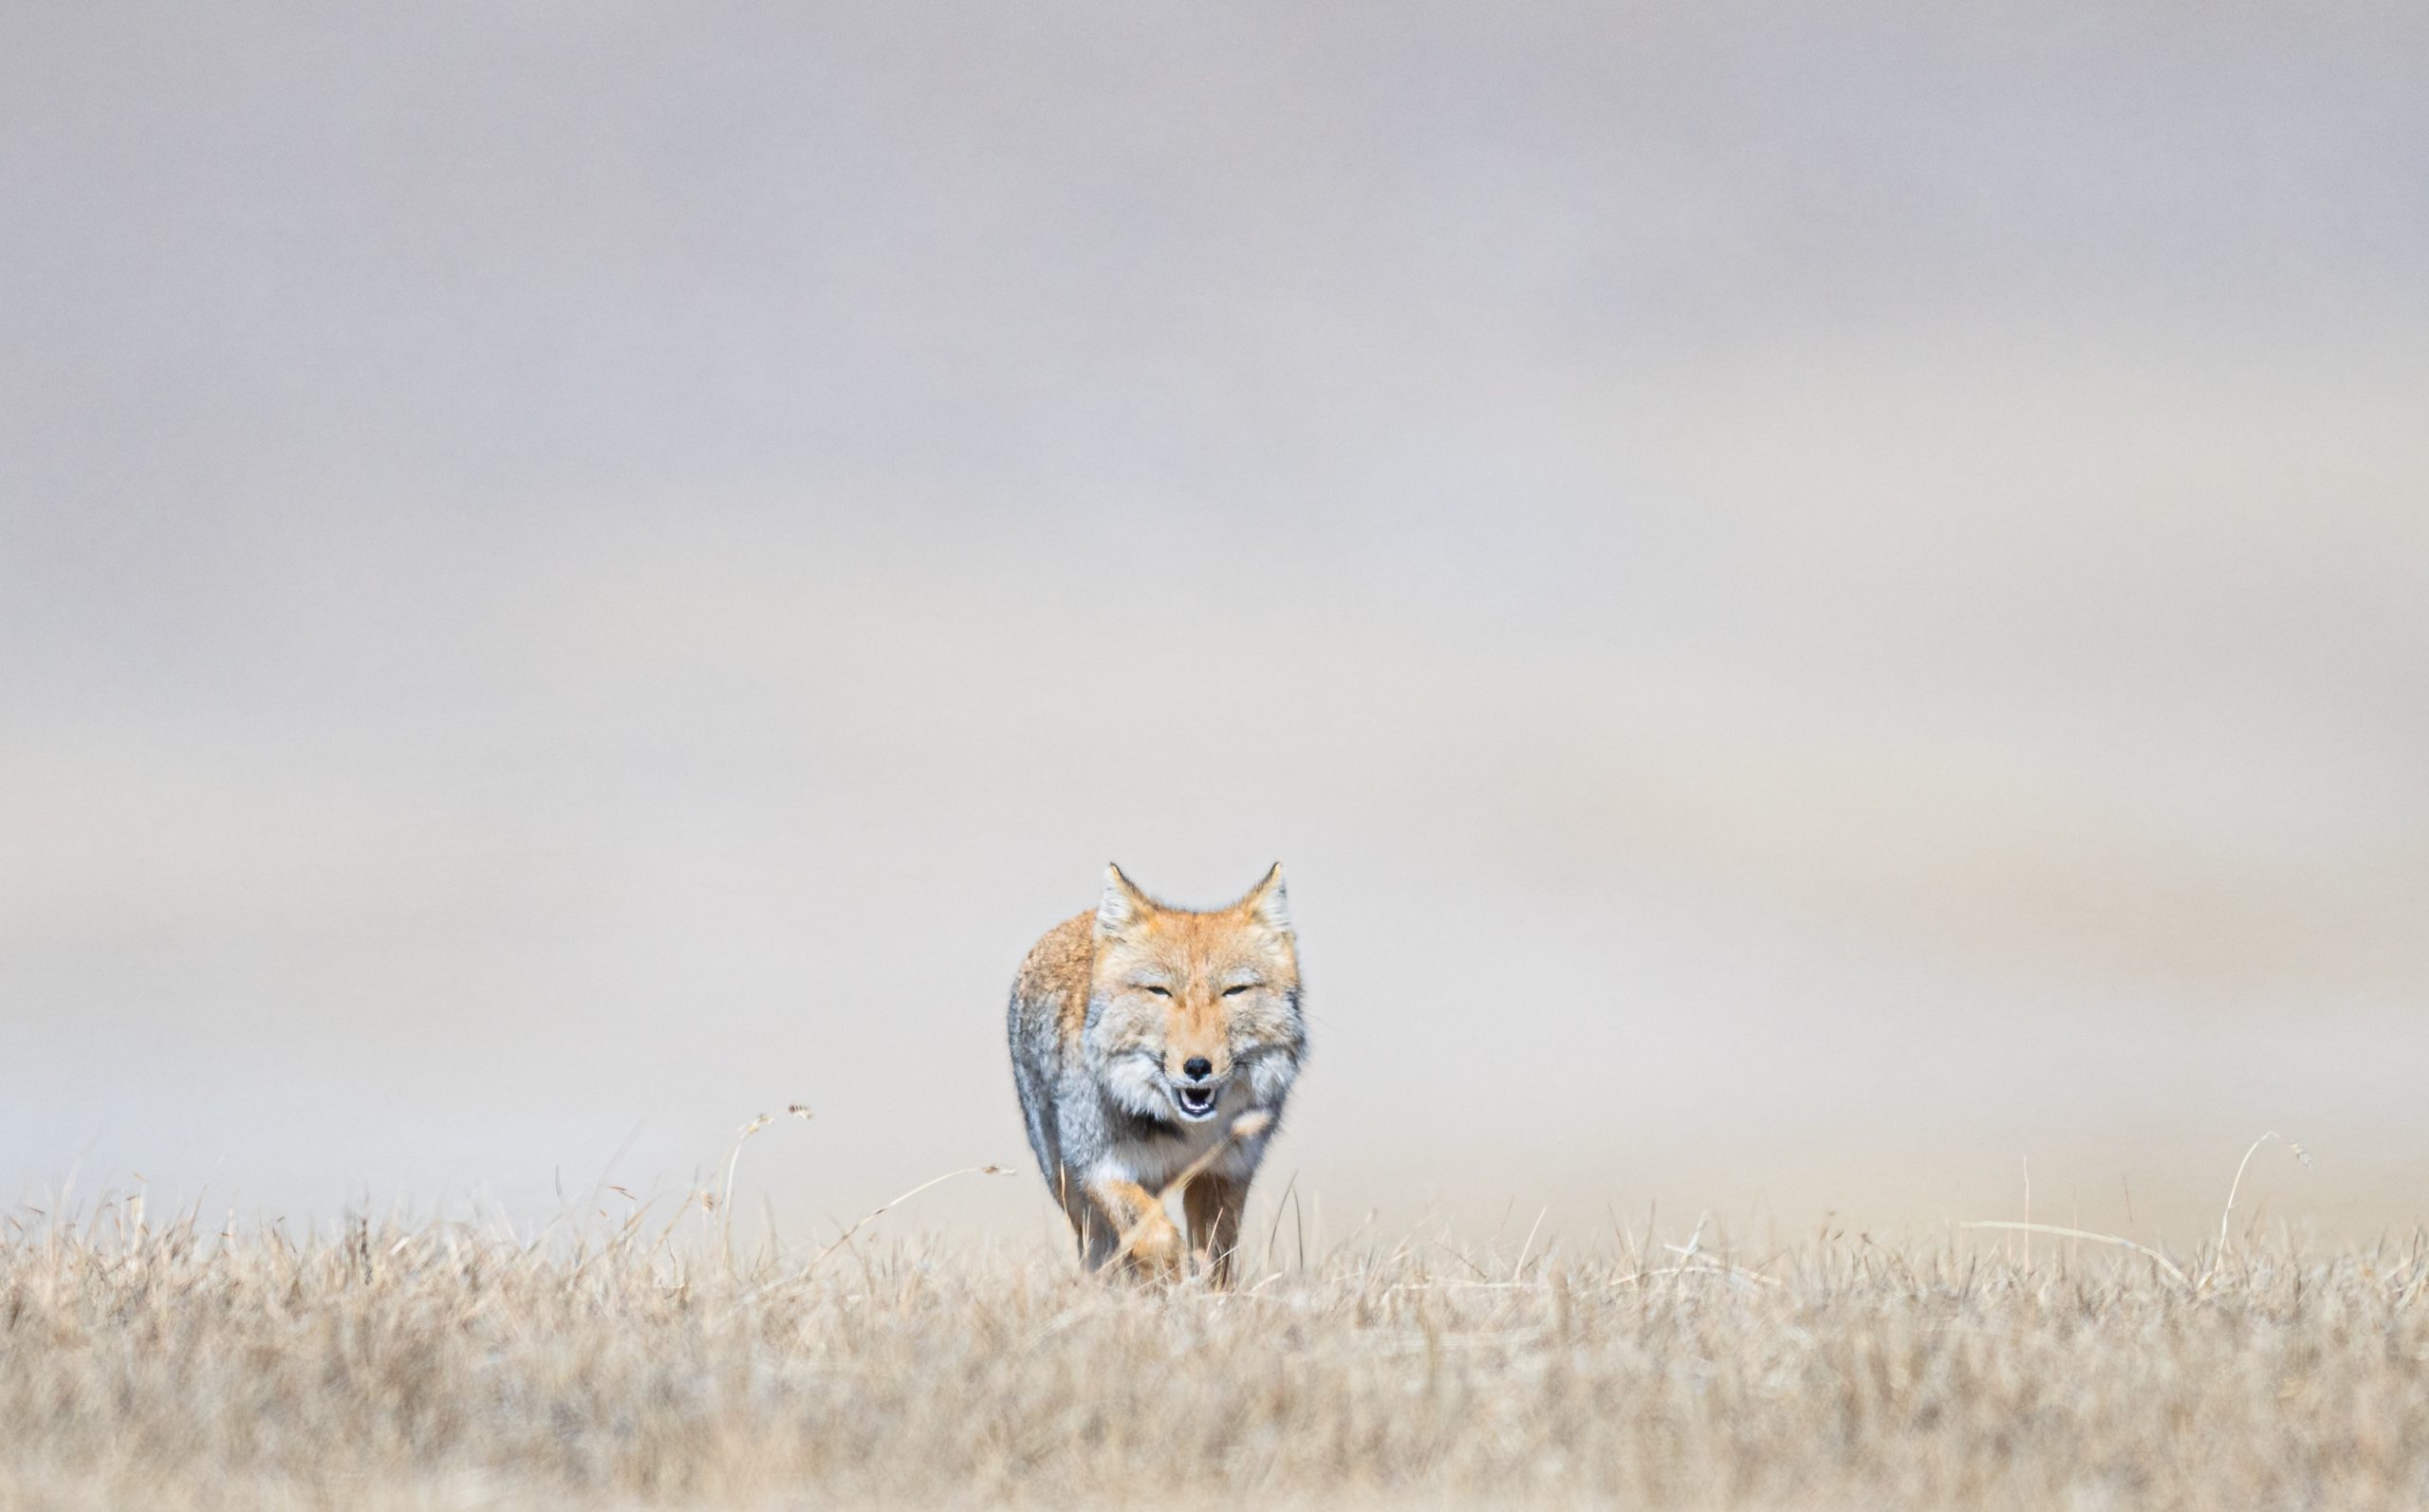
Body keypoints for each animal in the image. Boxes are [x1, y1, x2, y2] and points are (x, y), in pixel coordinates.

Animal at [1006, 863, 1306, 1284]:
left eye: (1234, 990)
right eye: (1159, 991)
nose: (1197, 1067)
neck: (1183, 1132)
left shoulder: (1224, 1173)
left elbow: (1214, 1256)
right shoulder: (1101, 1169)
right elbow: (1156, 1236)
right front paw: (1171, 1276)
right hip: (1068, 1187)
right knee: (1098, 1250)